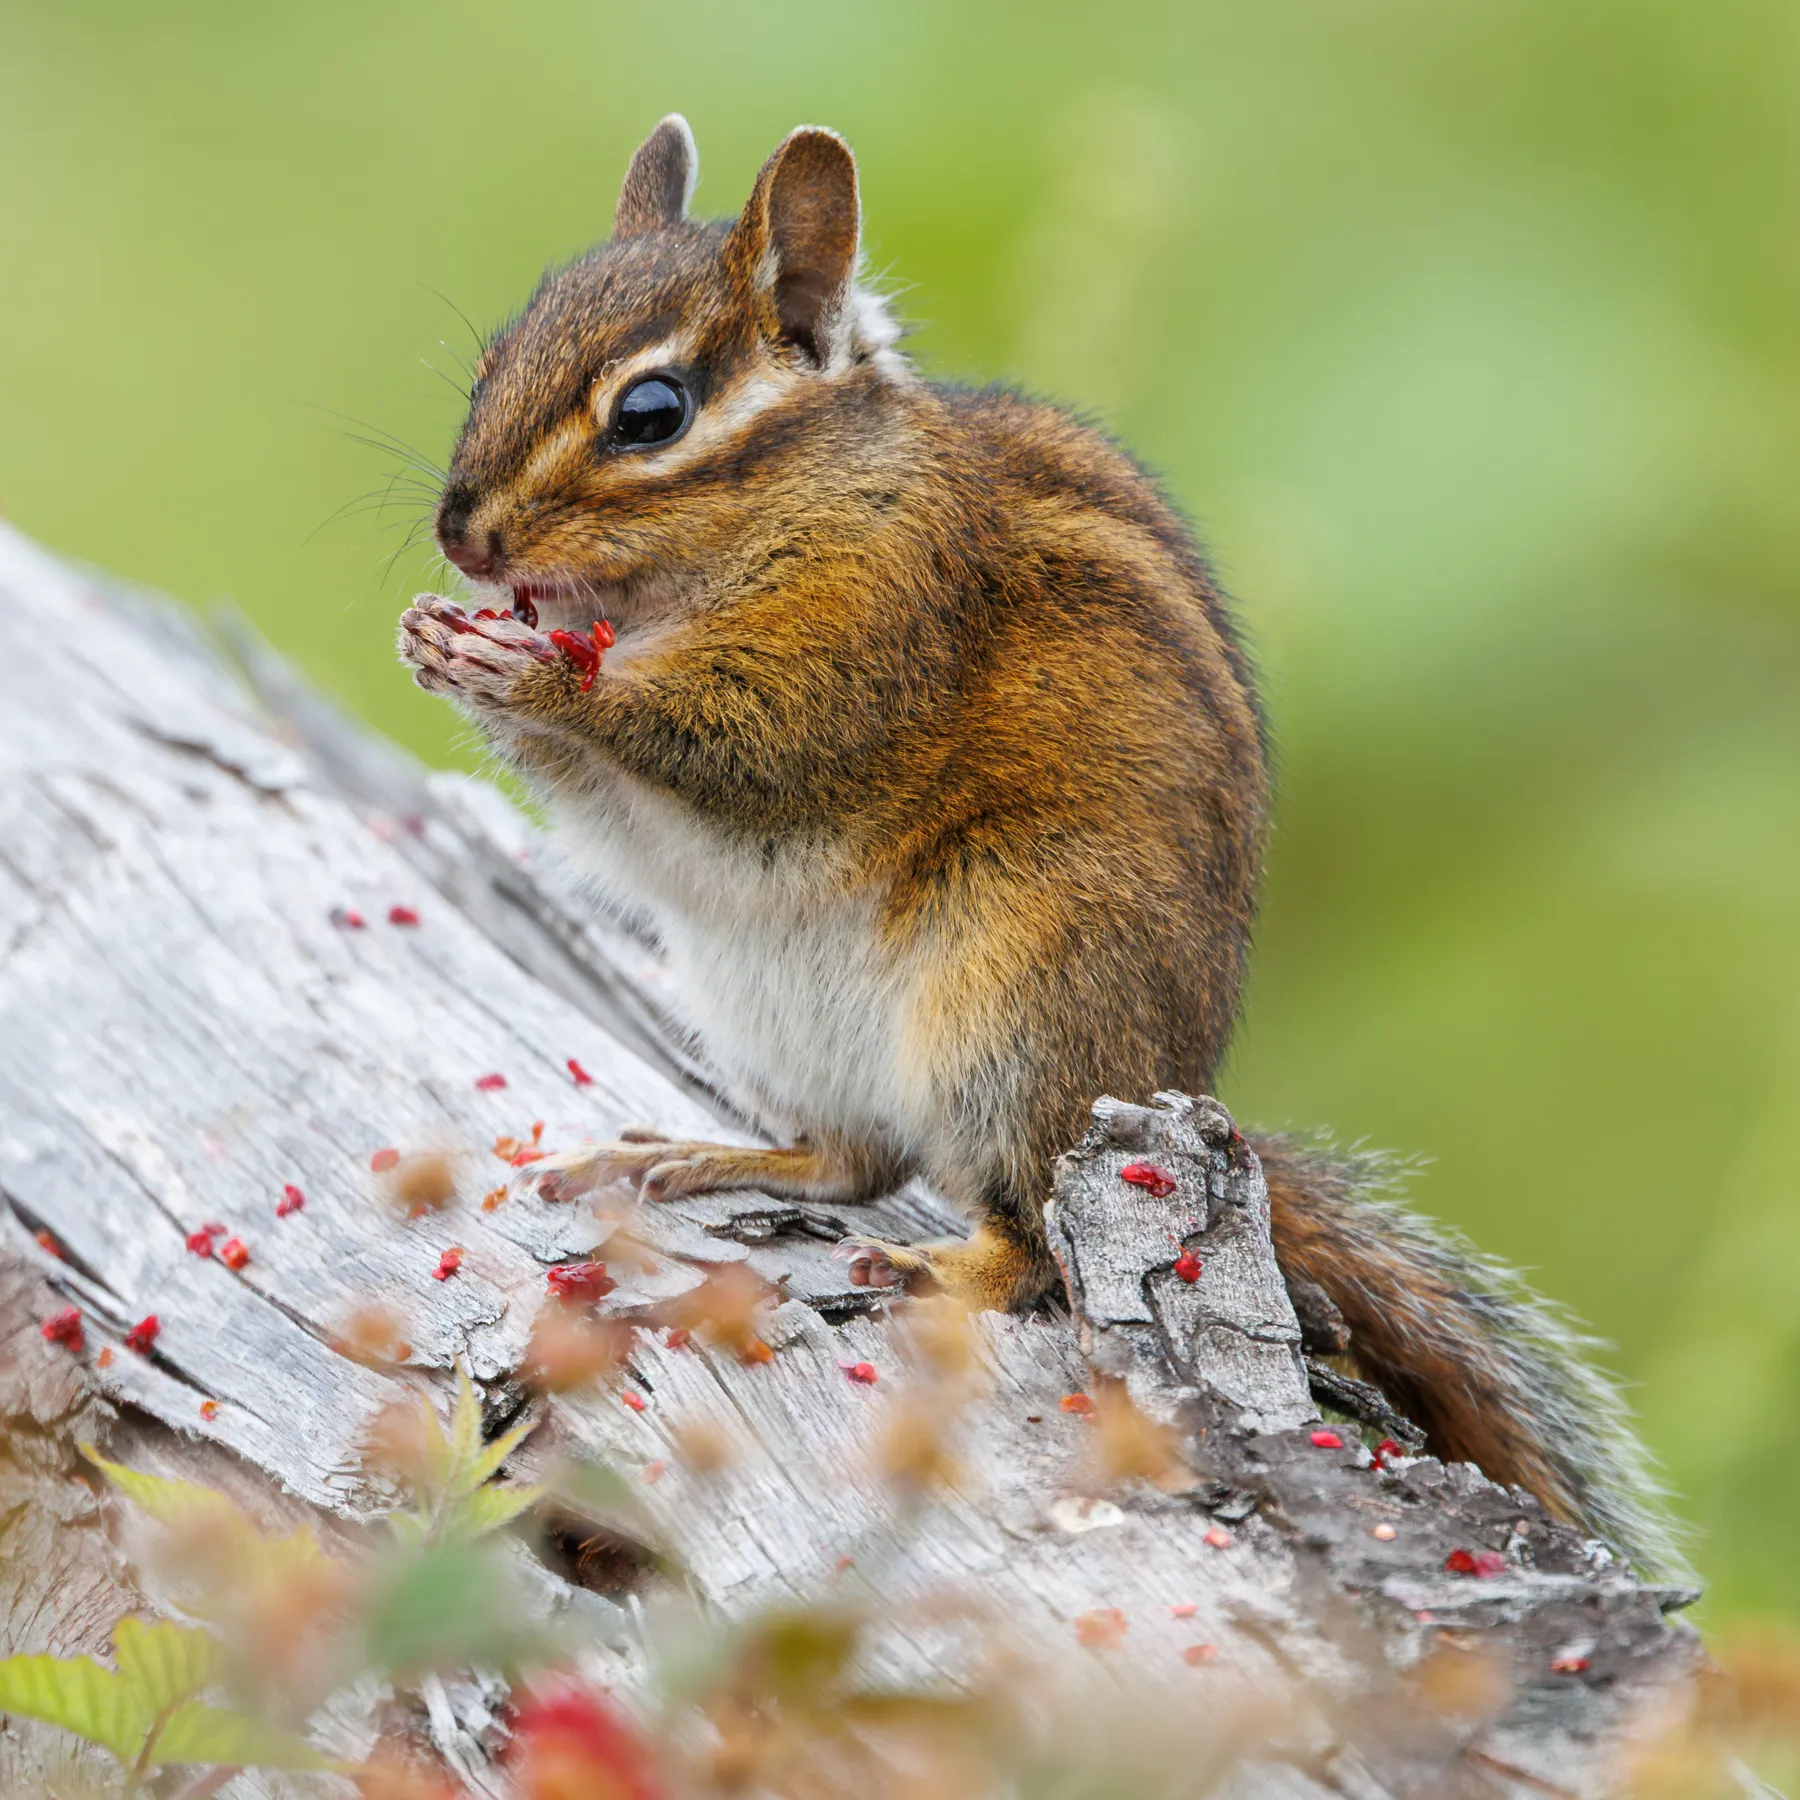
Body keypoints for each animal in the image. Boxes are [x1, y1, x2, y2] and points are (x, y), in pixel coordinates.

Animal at [398, 116, 1679, 1574]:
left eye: (651, 414)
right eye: (495, 356)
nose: (459, 532)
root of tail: (1172, 1080)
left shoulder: (870, 635)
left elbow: (747, 742)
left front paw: (538, 677)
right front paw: (442, 639)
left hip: (1008, 1014)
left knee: (1026, 1240)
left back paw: (934, 1266)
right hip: (771, 1016)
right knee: (859, 1159)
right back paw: (699, 1154)